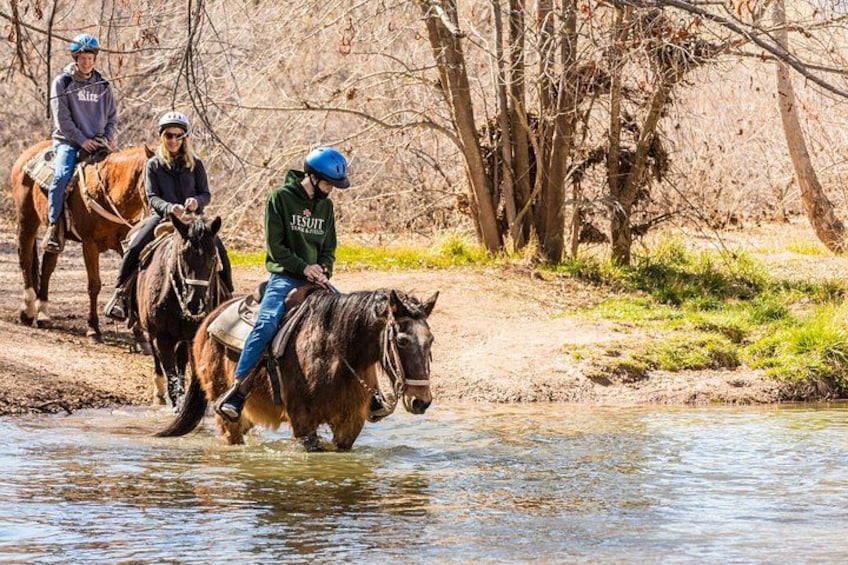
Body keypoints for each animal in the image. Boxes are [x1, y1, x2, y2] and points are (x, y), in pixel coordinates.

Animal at [11, 140, 154, 343]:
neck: (109, 191)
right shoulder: (89, 243)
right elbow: (94, 285)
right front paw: (93, 329)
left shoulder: (127, 243)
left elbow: (128, 281)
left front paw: (139, 334)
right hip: (27, 218)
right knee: (25, 258)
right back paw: (28, 311)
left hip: (56, 235)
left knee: (47, 266)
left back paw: (43, 314)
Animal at [132, 213, 225, 408]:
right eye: (183, 254)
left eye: (213, 256)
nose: (195, 304)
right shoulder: (161, 337)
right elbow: (172, 379)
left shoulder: (192, 337)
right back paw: (158, 391)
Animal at [156, 288, 439, 450]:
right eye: (401, 341)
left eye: (431, 340)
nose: (421, 401)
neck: (335, 353)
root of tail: (208, 320)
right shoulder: (304, 425)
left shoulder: (350, 425)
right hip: (226, 412)